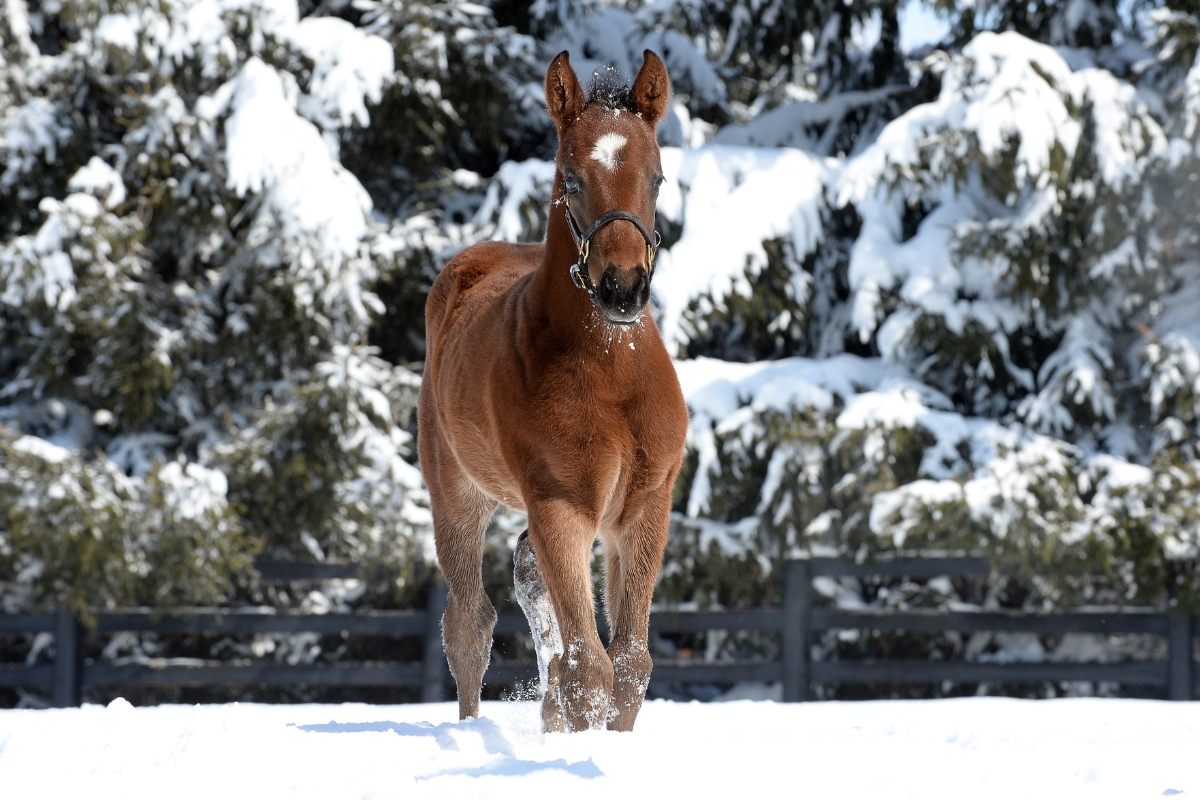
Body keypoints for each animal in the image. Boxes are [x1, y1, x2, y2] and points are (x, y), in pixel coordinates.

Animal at [418, 49, 687, 733]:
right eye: (571, 177)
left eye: (657, 178)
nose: (622, 288)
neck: (613, 375)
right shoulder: (560, 502)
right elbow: (589, 666)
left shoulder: (644, 507)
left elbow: (630, 664)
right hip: (456, 491)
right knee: (470, 623)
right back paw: (471, 729)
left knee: (528, 582)